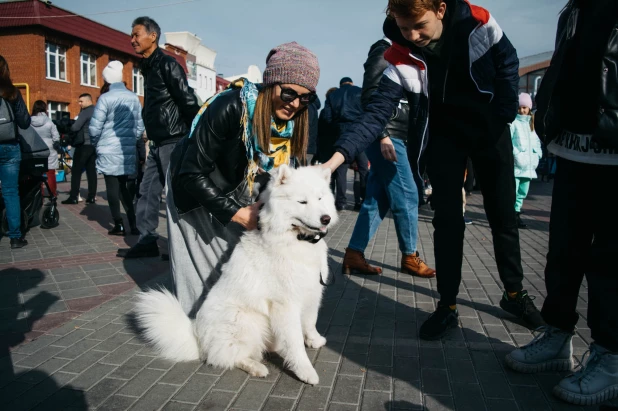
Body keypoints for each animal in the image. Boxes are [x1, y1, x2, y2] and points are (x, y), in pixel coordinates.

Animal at [134, 165, 336, 386]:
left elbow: (310, 321)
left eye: (320, 198)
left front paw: (315, 340)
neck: (296, 238)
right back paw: (257, 367)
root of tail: (196, 335)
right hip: (248, 321)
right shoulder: (286, 304)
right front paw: (305, 371)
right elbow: (295, 341)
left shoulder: (311, 291)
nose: (326, 218)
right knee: (227, 356)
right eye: (302, 202)